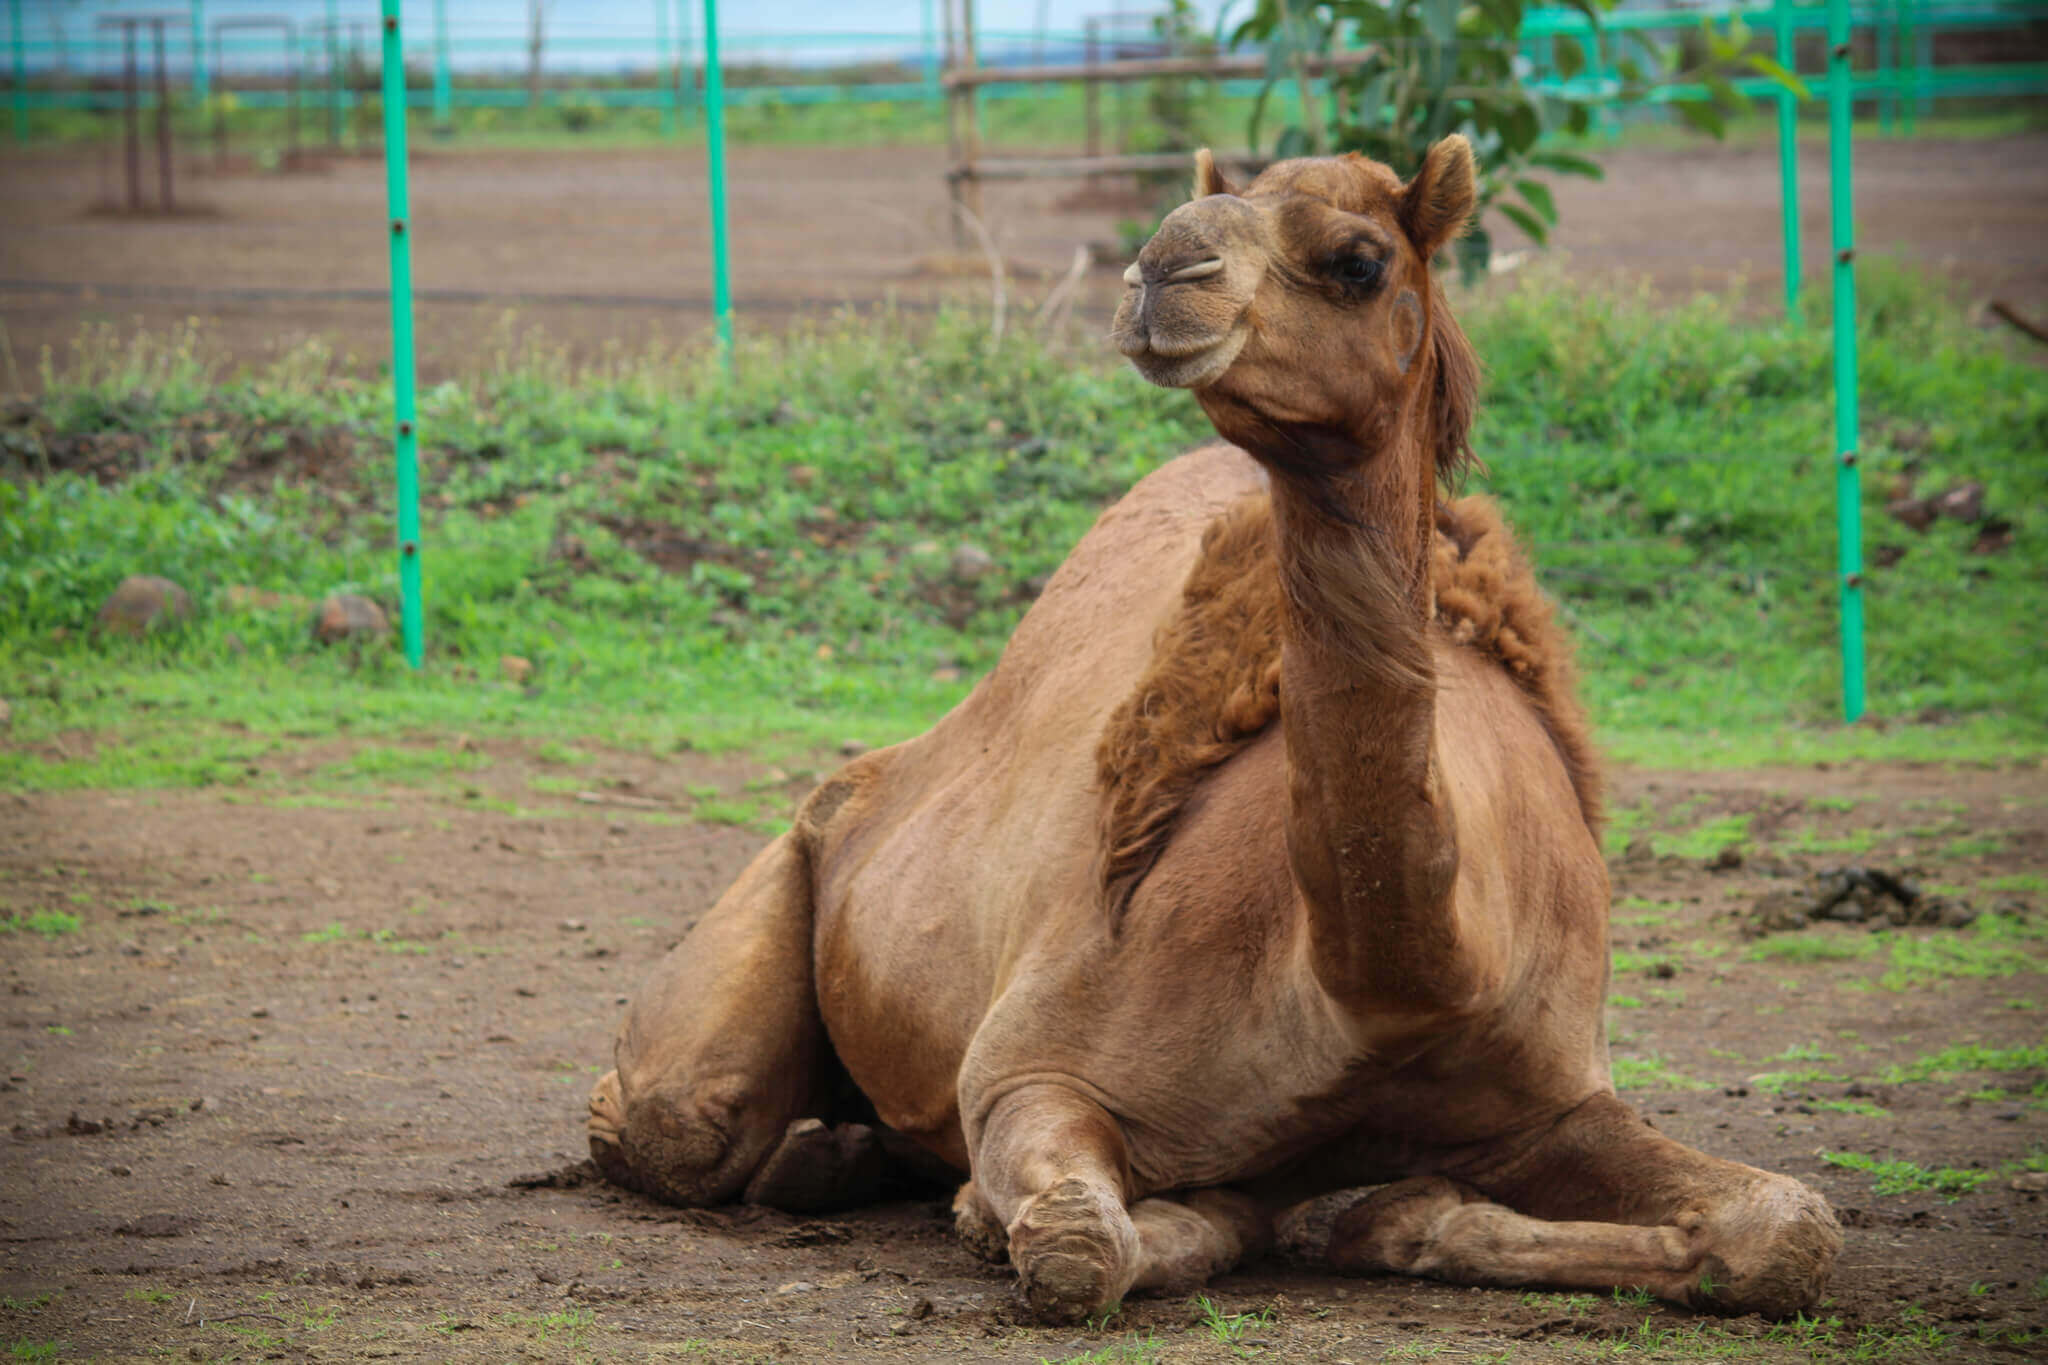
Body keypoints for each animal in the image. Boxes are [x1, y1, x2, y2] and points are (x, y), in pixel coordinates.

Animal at [585, 136, 1851, 1326]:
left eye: (1358, 259)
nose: (1159, 270)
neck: (1381, 995)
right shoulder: (1029, 1066)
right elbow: (1081, 1244)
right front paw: (1040, 1217)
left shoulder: (1551, 1099)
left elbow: (1786, 1227)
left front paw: (1391, 1210)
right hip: (769, 920)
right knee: (672, 1118)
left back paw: (840, 1156)